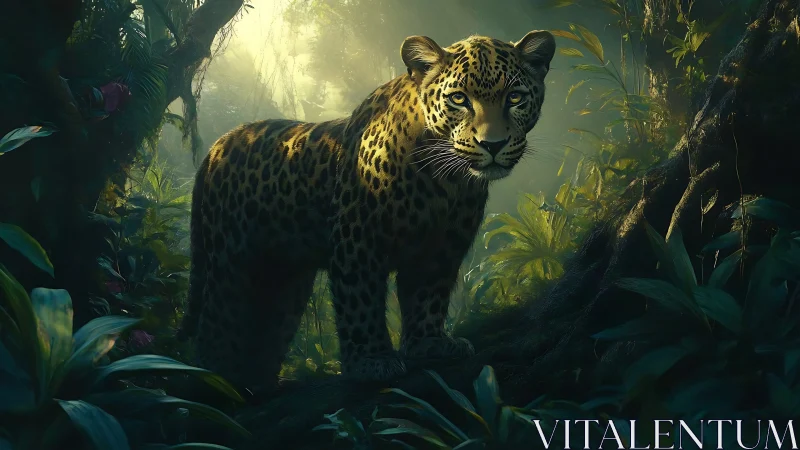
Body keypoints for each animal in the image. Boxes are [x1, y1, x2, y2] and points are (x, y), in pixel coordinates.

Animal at [179, 30, 556, 396]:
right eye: (460, 99)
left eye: (515, 98)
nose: (492, 145)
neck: (444, 180)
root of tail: (215, 147)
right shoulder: (357, 240)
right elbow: (360, 302)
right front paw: (371, 363)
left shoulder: (441, 247)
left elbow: (428, 296)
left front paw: (430, 345)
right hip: (231, 260)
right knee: (218, 320)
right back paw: (215, 384)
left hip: (286, 276)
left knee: (270, 324)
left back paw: (258, 384)